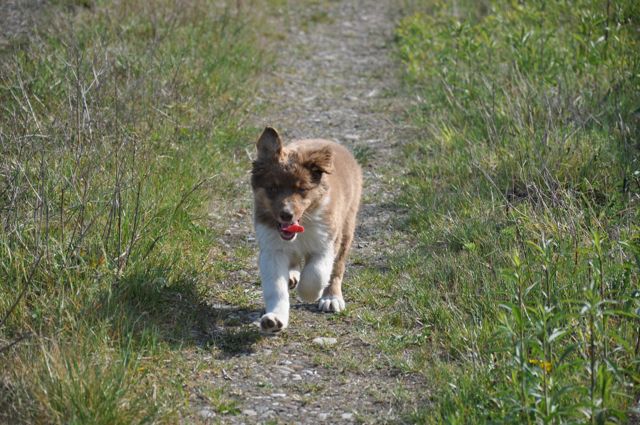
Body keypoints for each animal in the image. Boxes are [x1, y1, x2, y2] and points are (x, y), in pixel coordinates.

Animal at [250, 127, 360, 332]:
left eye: (301, 189)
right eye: (272, 188)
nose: (286, 215)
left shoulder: (326, 242)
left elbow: (316, 273)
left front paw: (309, 293)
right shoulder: (272, 249)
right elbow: (275, 289)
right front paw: (275, 319)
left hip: (347, 226)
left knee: (337, 268)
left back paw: (331, 297)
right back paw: (292, 275)